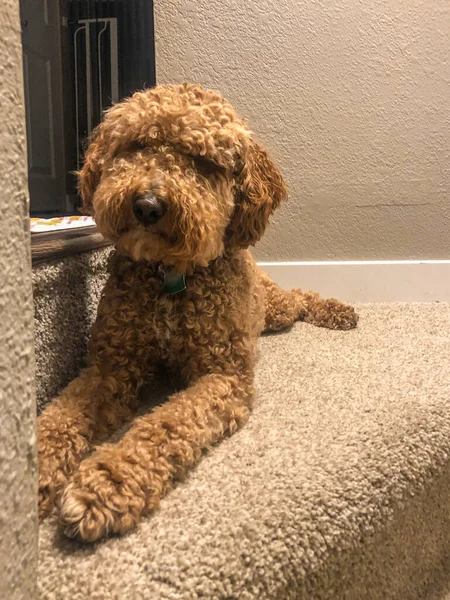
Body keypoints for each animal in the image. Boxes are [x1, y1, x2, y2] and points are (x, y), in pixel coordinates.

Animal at [37, 82, 356, 540]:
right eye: (136, 145)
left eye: (203, 161)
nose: (147, 205)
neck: (172, 277)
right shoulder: (112, 365)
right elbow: (62, 415)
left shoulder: (222, 375)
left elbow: (165, 424)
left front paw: (109, 481)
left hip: (275, 310)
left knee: (299, 298)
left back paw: (338, 310)